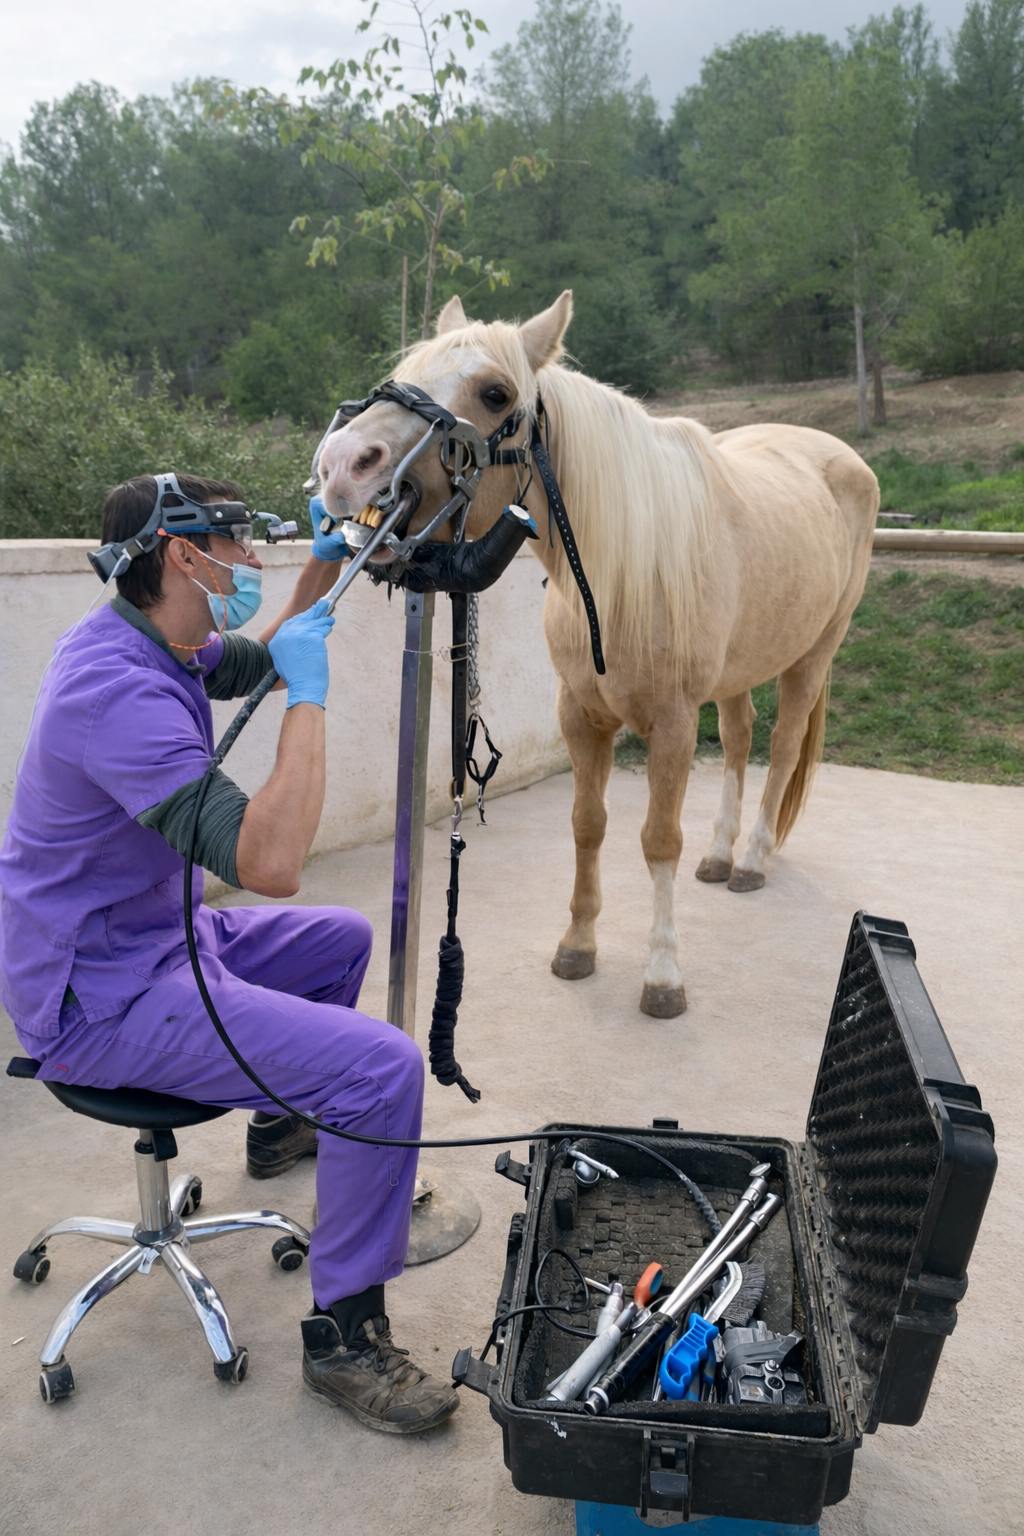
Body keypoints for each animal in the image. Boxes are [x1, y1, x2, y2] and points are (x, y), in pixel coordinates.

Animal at [317, 291, 878, 1018]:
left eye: (496, 393)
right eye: (407, 371)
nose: (343, 465)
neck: (619, 572)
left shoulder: (672, 724)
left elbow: (658, 840)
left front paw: (663, 975)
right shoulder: (580, 717)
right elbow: (588, 825)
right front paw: (578, 944)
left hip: (813, 655)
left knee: (780, 749)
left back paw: (752, 861)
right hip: (739, 670)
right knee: (738, 739)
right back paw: (721, 855)